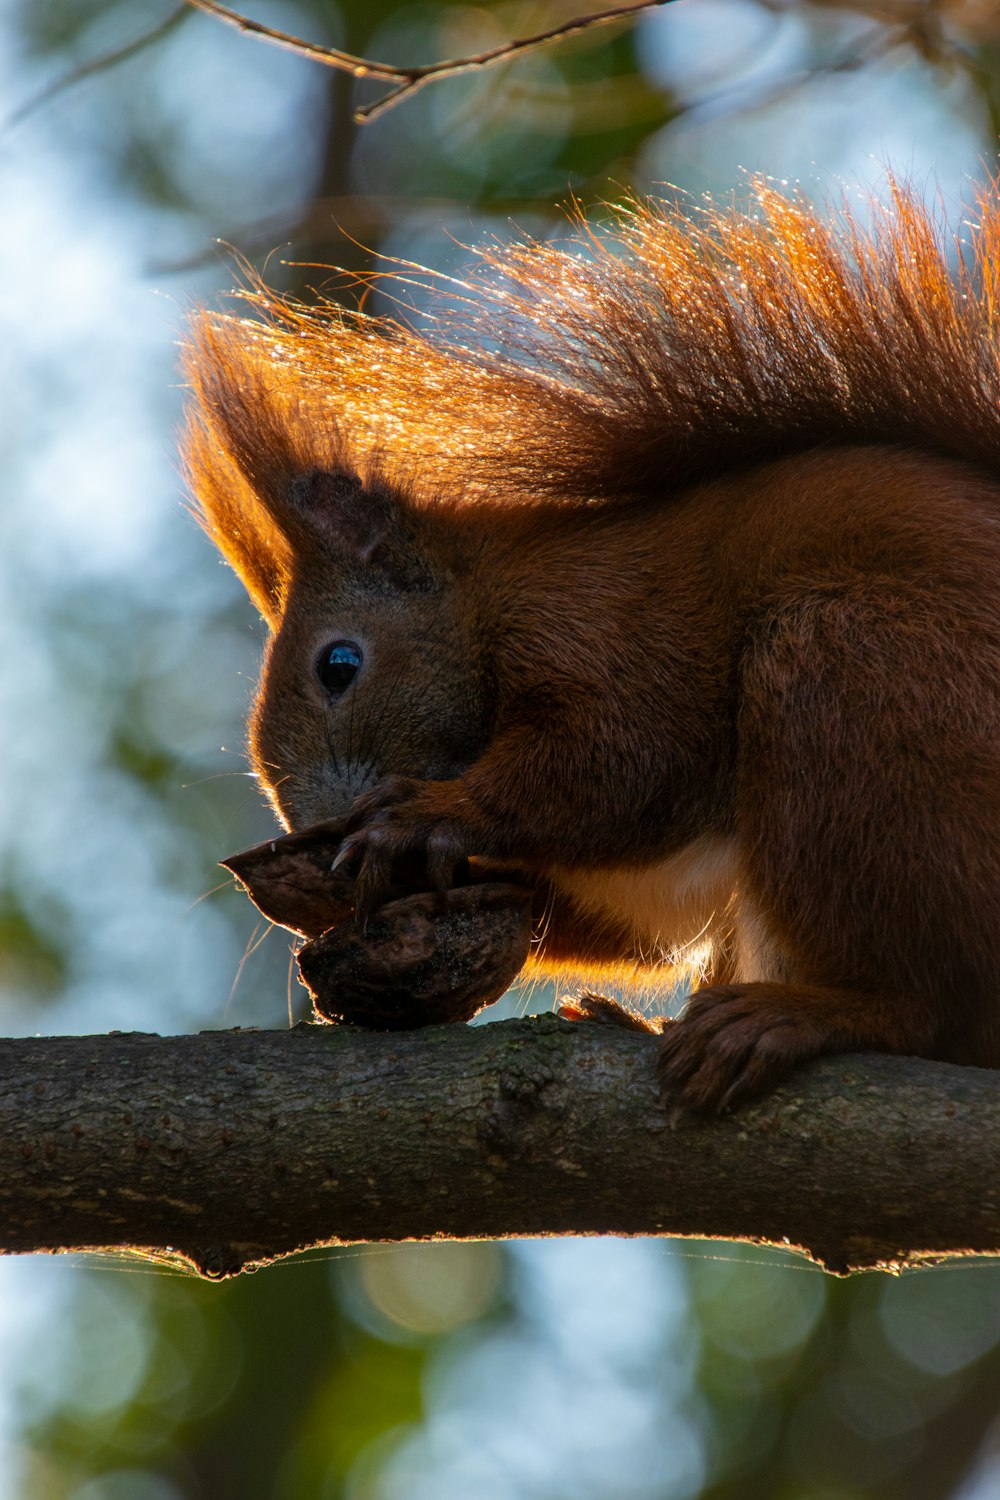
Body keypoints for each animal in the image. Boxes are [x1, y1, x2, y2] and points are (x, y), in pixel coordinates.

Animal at [183, 178, 1000, 1116]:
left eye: (339, 666)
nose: (312, 827)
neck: (489, 597)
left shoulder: (604, 628)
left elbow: (620, 763)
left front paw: (426, 816)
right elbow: (628, 922)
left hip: (857, 683)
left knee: (930, 1005)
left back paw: (804, 1014)